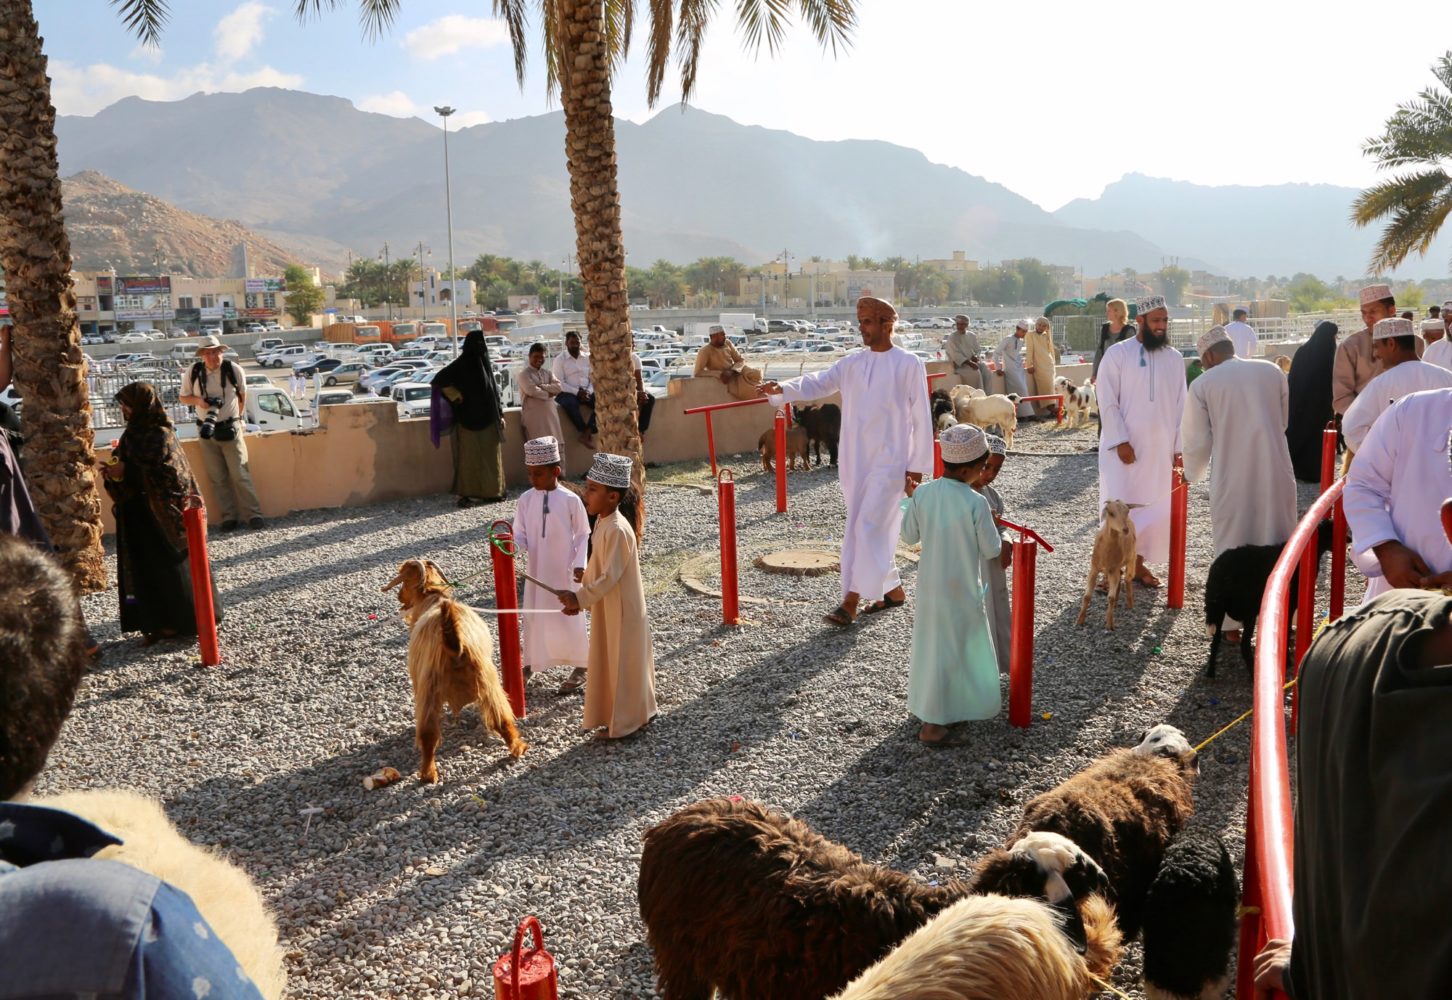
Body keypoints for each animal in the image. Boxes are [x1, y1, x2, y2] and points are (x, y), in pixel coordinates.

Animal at [1196, 519, 1330, 673]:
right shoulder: (1290, 604)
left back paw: (1211, 672)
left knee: (1215, 640)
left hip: (1218, 611)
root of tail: (1218, 573)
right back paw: (1252, 672)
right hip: (1246, 612)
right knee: (1244, 645)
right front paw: (1287, 659)